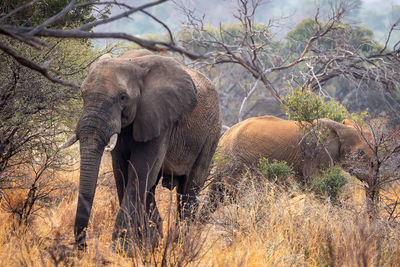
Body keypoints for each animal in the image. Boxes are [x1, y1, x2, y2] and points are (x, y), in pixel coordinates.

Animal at [61, 49, 222, 249]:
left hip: (211, 132)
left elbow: (139, 172)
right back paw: (155, 240)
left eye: (123, 98)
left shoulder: (162, 118)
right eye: (83, 94)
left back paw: (181, 244)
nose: (83, 247)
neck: (132, 62)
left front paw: (122, 248)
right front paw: (138, 244)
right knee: (152, 187)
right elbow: (121, 172)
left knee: (189, 188)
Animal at [206, 116, 376, 215]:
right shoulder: (311, 154)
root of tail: (224, 137)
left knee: (214, 198)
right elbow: (317, 186)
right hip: (238, 164)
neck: (340, 127)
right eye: (361, 154)